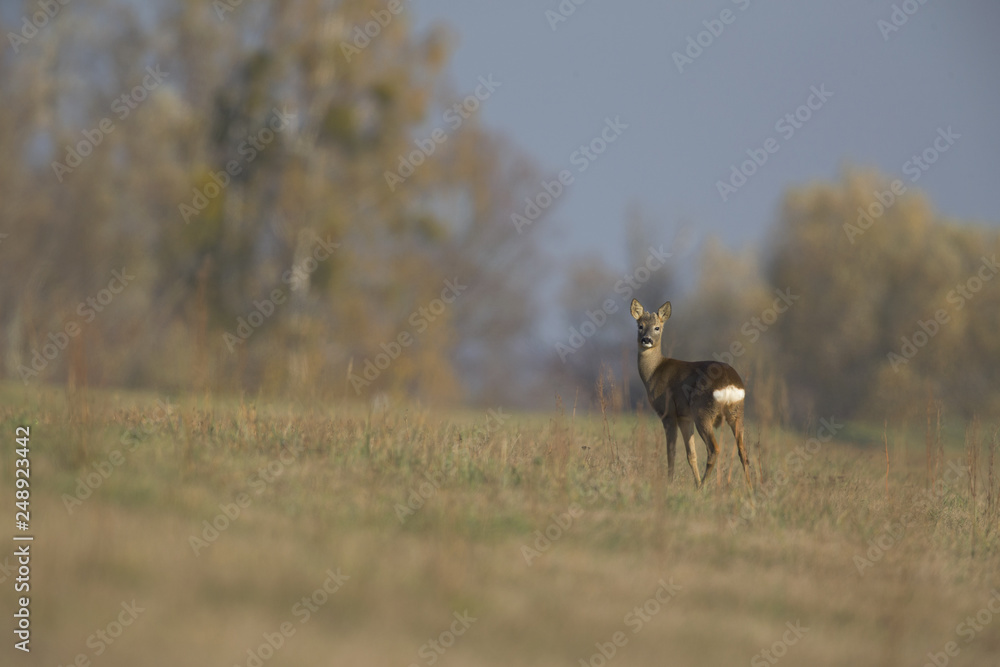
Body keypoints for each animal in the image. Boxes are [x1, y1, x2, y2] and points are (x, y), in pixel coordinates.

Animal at [630, 299, 753, 491]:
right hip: (737, 412)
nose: (646, 340)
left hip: (702, 411)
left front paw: (670, 482)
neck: (654, 371)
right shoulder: (684, 417)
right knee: (743, 451)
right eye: (640, 325)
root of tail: (730, 385)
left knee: (714, 449)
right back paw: (751, 489)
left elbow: (671, 452)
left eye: (657, 327)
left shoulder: (669, 413)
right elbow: (691, 454)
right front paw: (691, 481)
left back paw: (702, 487)